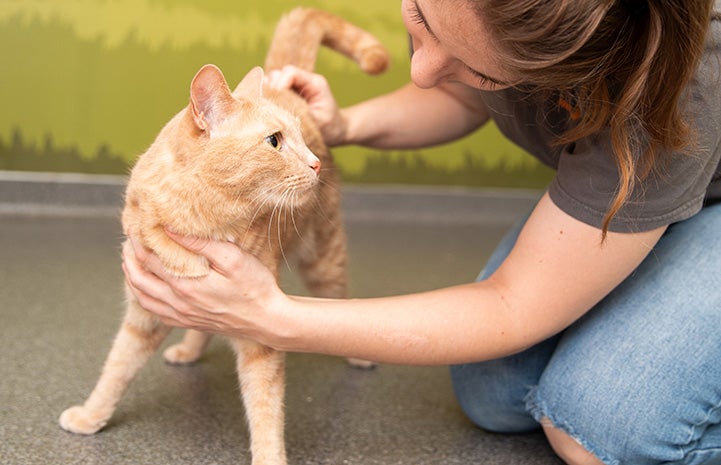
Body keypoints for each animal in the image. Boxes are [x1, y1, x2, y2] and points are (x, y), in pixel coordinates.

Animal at [59, 8, 388, 464]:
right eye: (274, 141)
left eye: (300, 138)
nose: (315, 163)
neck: (200, 220)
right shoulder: (142, 314)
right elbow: (116, 368)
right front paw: (92, 416)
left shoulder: (261, 334)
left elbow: (266, 410)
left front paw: (270, 458)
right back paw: (189, 349)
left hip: (325, 263)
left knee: (341, 302)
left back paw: (357, 355)